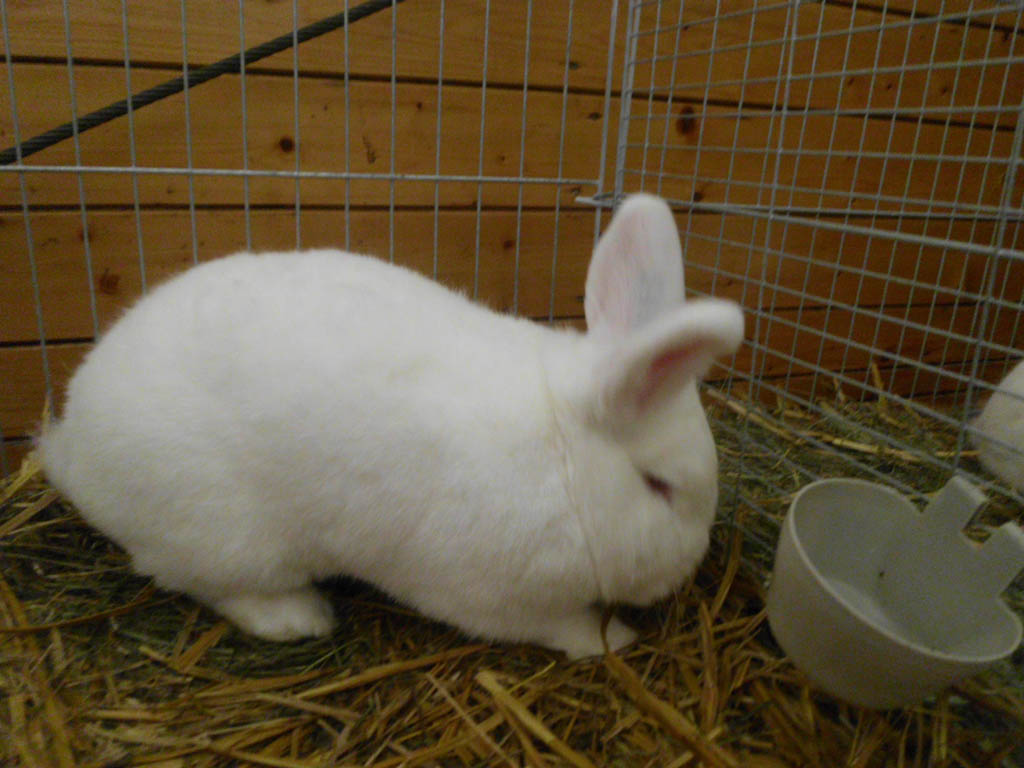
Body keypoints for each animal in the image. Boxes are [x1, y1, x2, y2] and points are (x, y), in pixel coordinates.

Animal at [39, 193, 744, 659]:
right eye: (658, 486)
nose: (689, 566)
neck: (563, 453)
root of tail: (75, 442)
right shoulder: (495, 597)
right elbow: (561, 627)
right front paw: (613, 638)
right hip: (224, 536)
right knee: (212, 585)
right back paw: (300, 617)